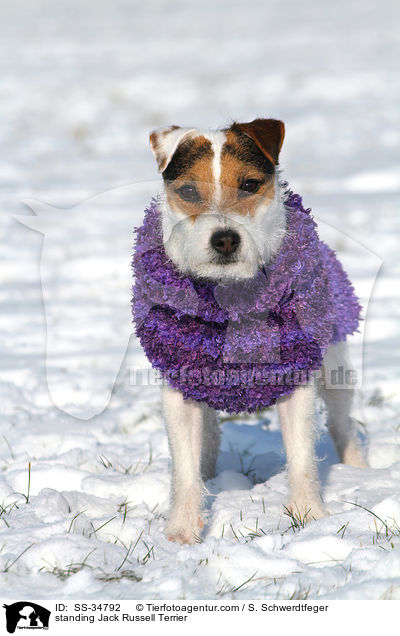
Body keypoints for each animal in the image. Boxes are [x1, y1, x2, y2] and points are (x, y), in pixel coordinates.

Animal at [146, 118, 366, 540]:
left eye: (249, 184)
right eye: (187, 191)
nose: (224, 239)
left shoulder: (296, 376)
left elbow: (302, 456)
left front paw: (310, 517)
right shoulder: (179, 386)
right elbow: (183, 466)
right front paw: (182, 531)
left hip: (335, 364)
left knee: (342, 420)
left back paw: (359, 469)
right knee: (209, 434)